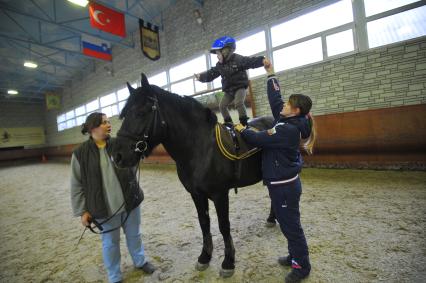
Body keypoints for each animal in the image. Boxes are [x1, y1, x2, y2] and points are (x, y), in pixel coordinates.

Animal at [112, 74, 272, 278]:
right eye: (124, 114)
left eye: (141, 112)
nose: (118, 156)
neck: (200, 148)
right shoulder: (196, 195)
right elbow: (204, 223)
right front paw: (204, 257)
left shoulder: (220, 195)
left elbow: (223, 225)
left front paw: (228, 262)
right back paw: (271, 219)